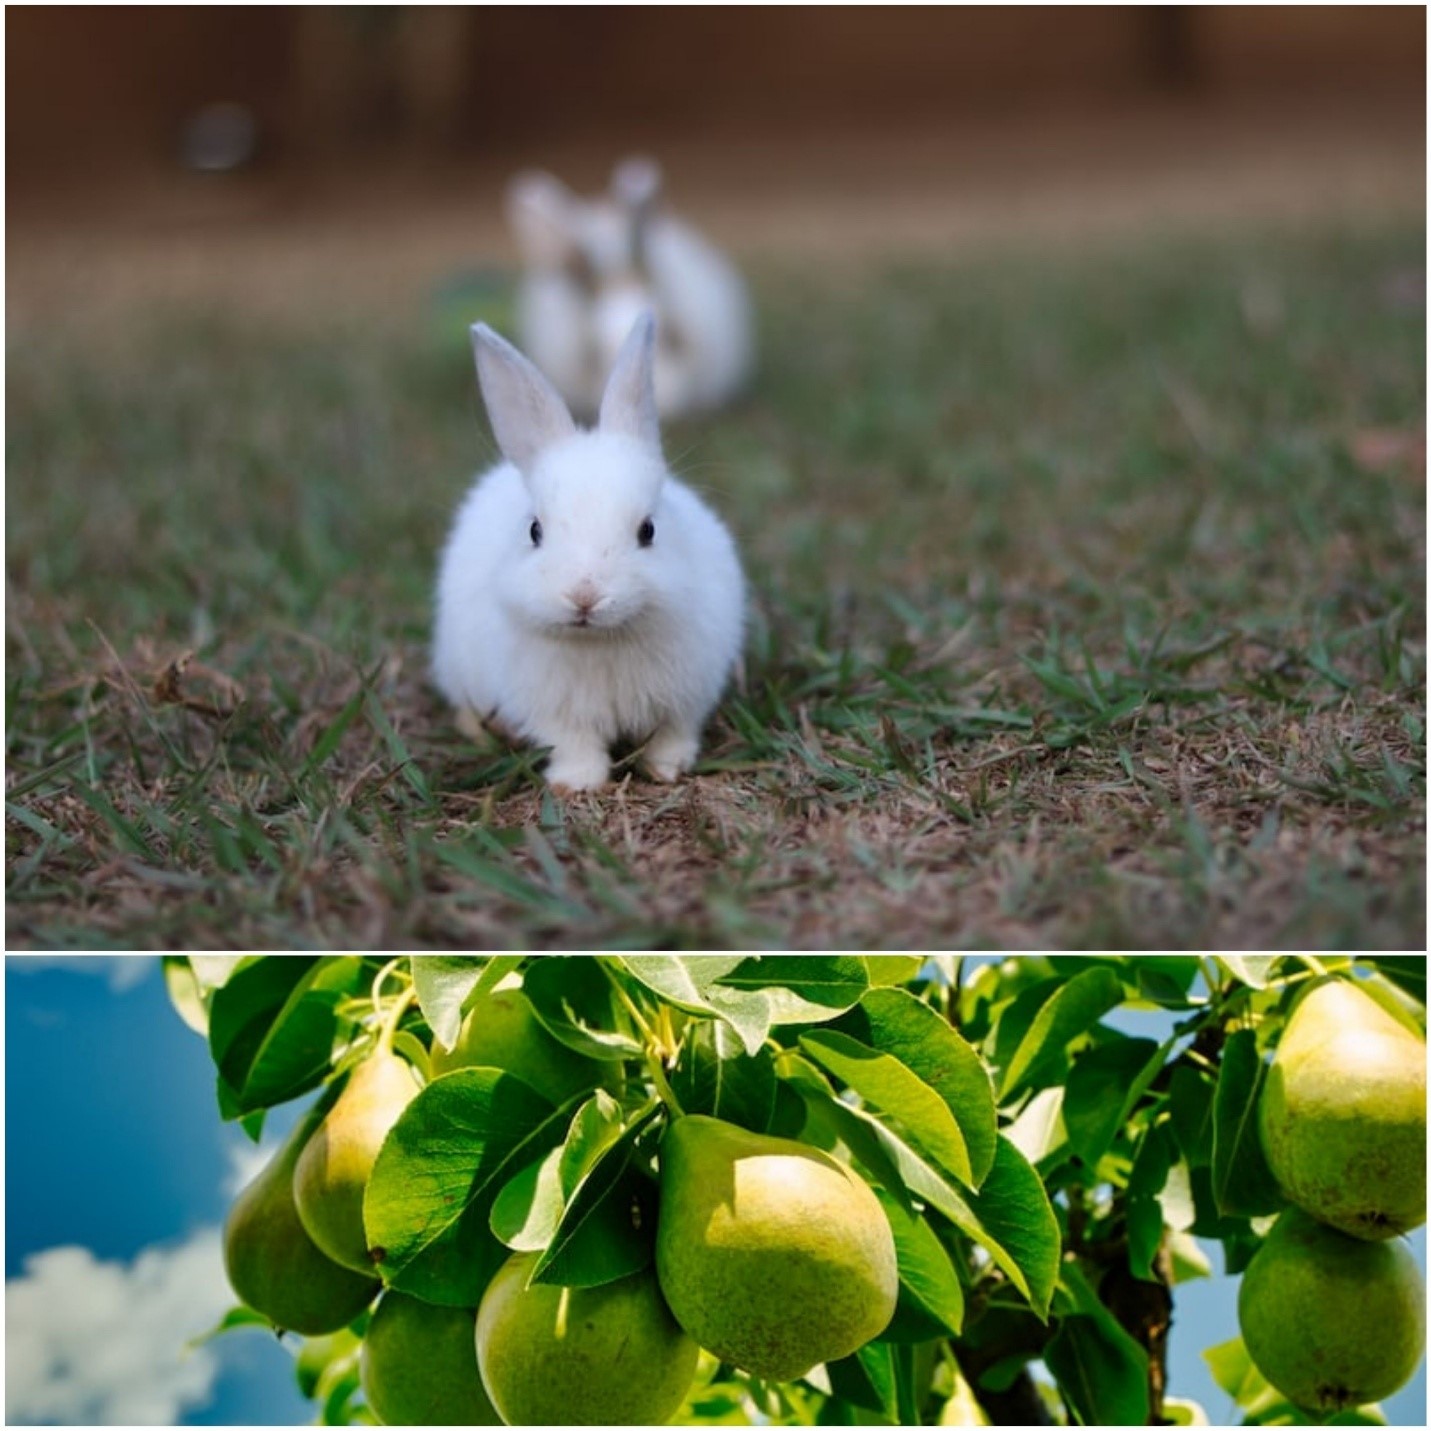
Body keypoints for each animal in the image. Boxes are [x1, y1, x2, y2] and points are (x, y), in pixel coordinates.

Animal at [432, 311, 746, 794]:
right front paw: (577, 784)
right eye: (534, 530)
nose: (584, 596)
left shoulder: (686, 700)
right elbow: (572, 744)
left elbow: (673, 735)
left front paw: (667, 769)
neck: (601, 638)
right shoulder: (553, 713)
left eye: (648, 530)